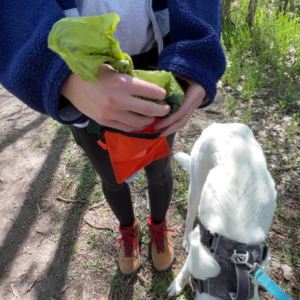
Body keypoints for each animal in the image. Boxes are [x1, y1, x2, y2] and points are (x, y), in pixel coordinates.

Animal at [166, 123, 276, 298]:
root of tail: (222, 125)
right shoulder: (201, 246)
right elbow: (188, 267)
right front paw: (178, 284)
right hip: (196, 187)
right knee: (190, 217)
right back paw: (186, 239)